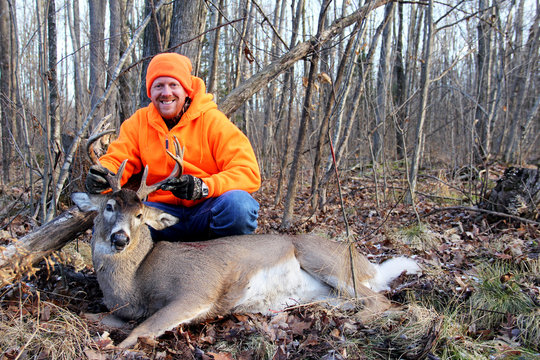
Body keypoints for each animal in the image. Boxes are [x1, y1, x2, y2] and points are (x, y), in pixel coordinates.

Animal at [71, 136, 420, 348]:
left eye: (141, 214)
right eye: (108, 207)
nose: (120, 238)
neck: (135, 282)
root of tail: (369, 266)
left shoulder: (196, 290)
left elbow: (137, 333)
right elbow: (95, 317)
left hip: (325, 260)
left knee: (382, 300)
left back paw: (351, 325)